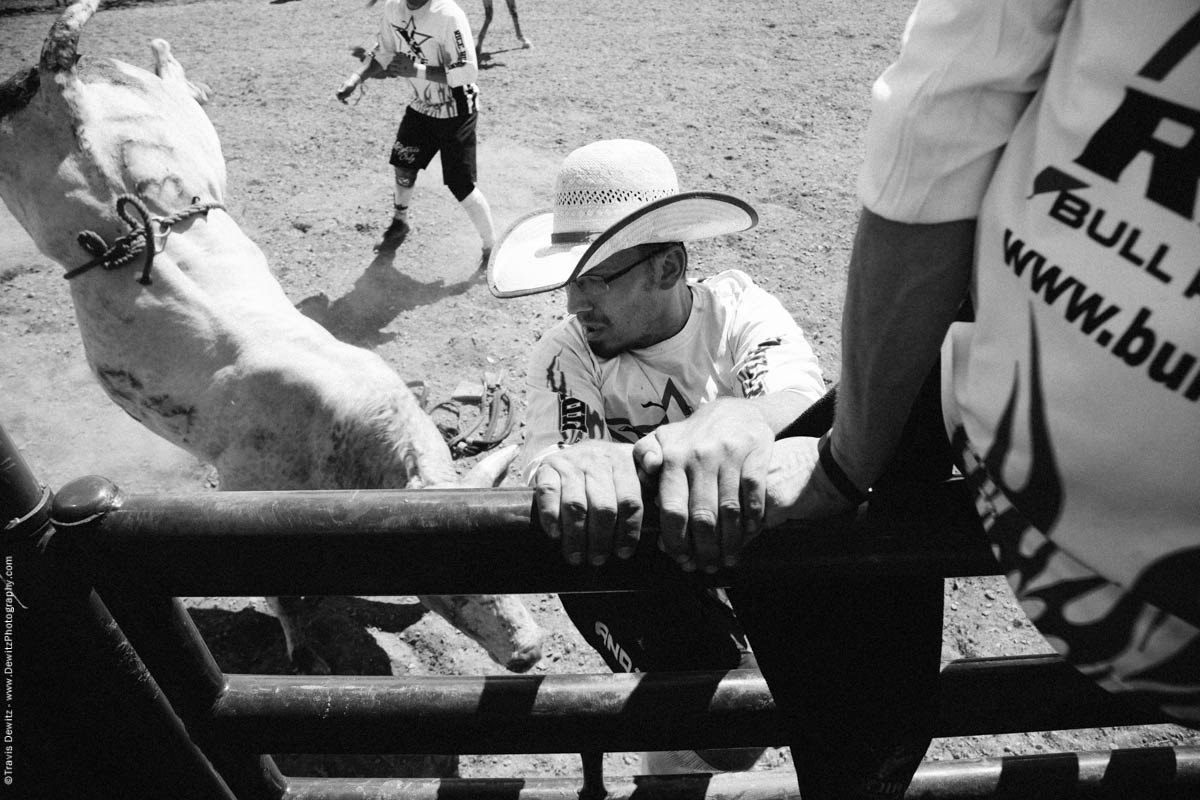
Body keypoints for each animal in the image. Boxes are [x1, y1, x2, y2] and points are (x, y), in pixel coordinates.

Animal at [0, 0, 544, 676]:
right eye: (448, 575)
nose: (529, 648)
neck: (344, 442)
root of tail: (64, 88)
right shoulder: (244, 486)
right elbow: (283, 596)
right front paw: (308, 660)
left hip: (159, 127)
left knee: (148, 74)